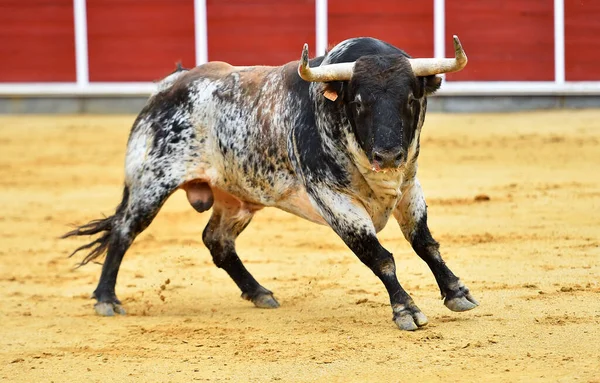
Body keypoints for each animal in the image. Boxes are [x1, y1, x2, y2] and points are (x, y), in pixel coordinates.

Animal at [64, 34, 478, 332]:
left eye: (411, 99)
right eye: (358, 102)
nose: (388, 155)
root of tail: (167, 86)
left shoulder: (410, 187)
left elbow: (425, 244)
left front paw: (457, 291)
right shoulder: (334, 199)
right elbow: (380, 257)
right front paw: (406, 309)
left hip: (234, 195)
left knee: (217, 241)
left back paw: (259, 292)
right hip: (151, 184)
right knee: (123, 231)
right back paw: (106, 299)